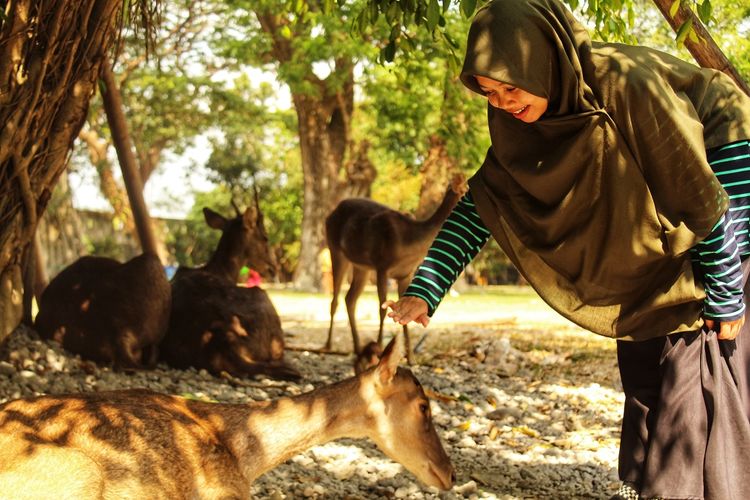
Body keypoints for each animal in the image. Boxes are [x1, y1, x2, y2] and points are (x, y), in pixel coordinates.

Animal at [326, 172, 468, 360]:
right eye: (464, 186)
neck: (408, 246)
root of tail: (330, 215)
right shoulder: (382, 265)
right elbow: (382, 309)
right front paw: (380, 350)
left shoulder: (405, 274)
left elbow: (403, 311)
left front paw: (411, 358)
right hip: (334, 248)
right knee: (335, 300)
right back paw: (328, 345)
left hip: (362, 267)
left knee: (350, 298)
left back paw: (357, 347)